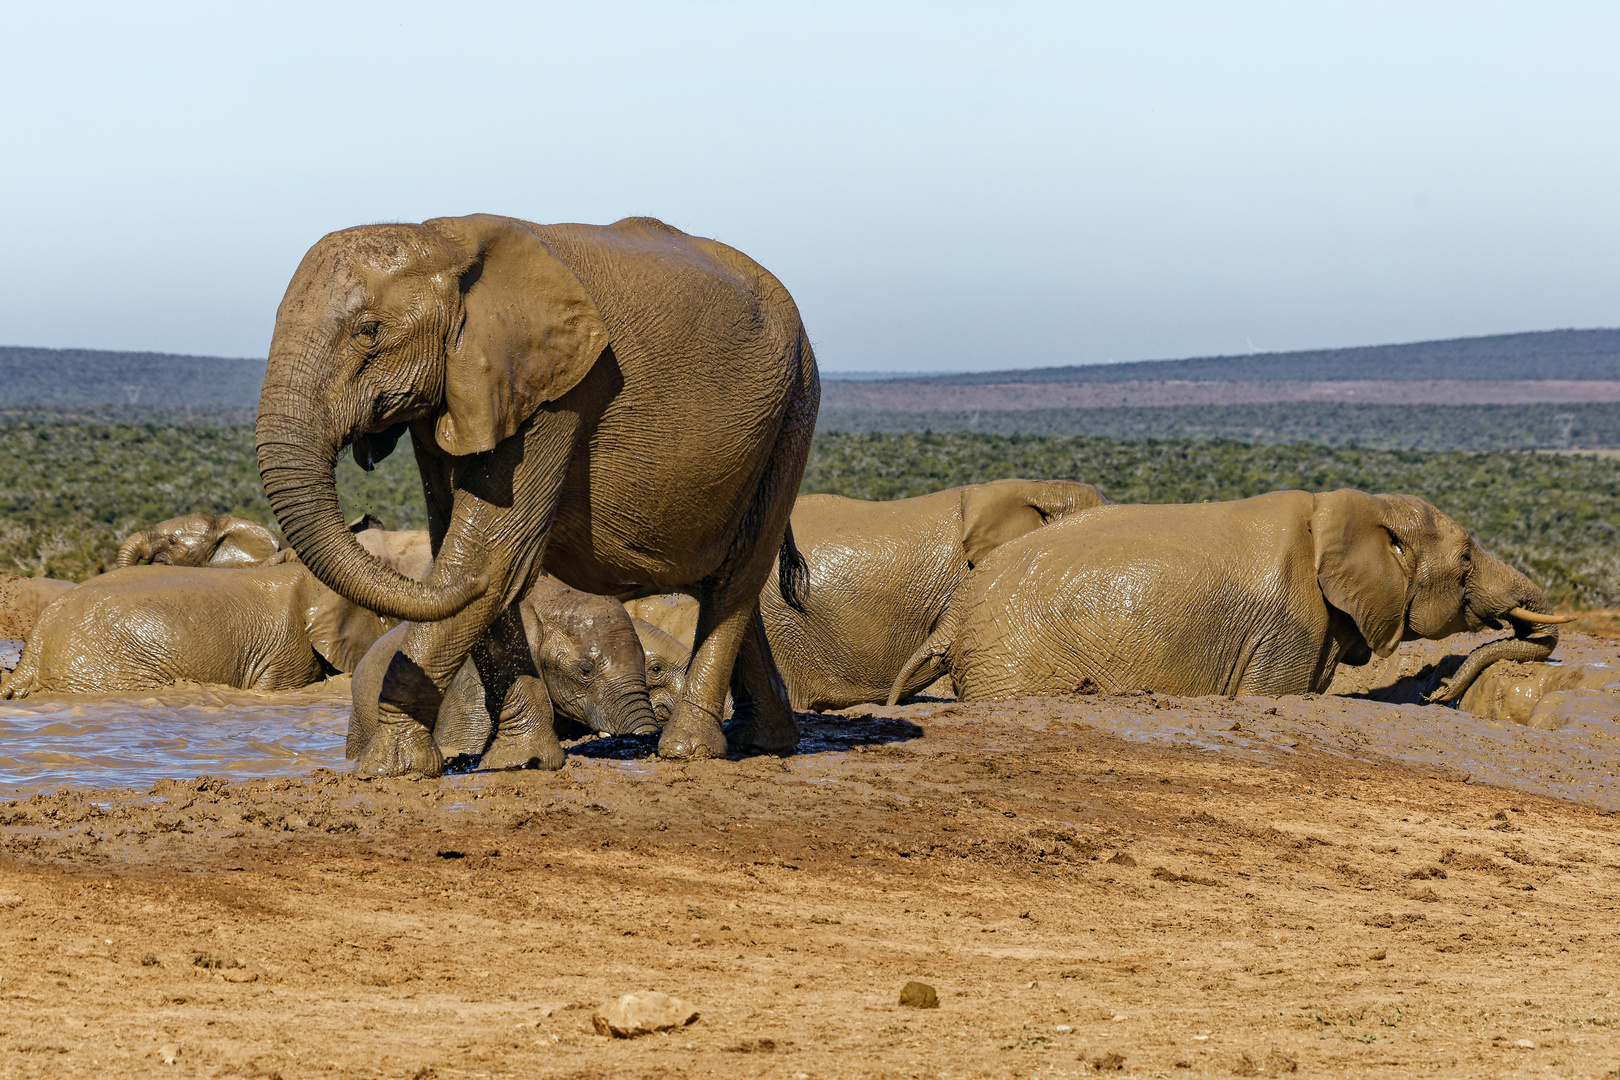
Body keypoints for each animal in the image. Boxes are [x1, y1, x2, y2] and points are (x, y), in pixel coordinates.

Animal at [887, 492, 1568, 709]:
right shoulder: (1289, 626)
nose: (1438, 691)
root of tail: (955, 613)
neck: (1346, 508)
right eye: (1466, 559)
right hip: (1015, 661)